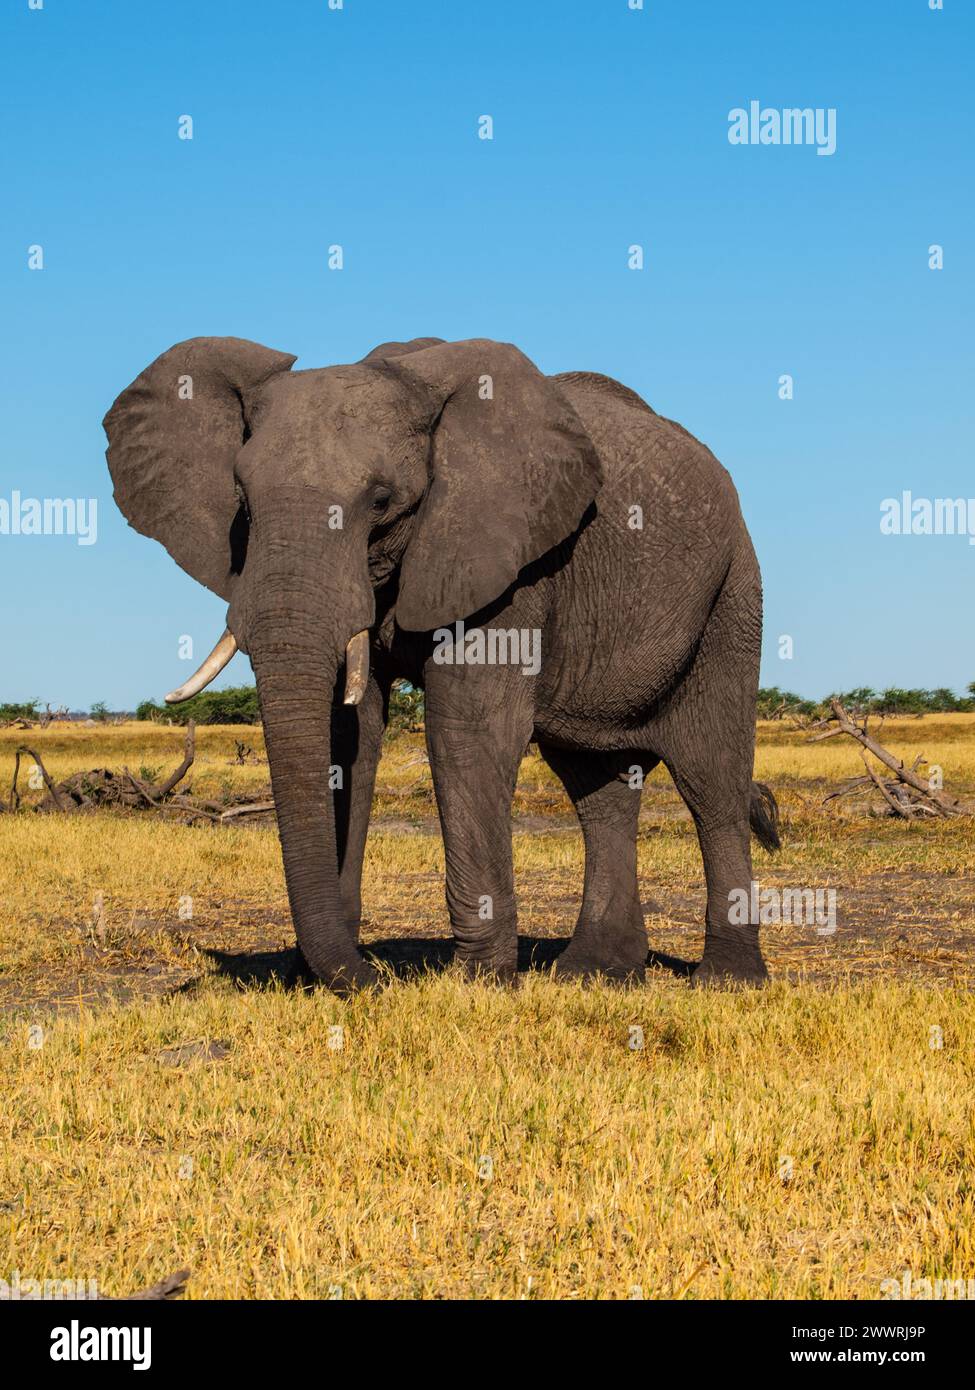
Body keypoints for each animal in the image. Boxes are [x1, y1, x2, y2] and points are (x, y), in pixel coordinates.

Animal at [104, 335, 779, 994]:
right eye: (242, 500)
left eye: (381, 501)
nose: (373, 981)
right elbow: (348, 736)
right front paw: (318, 976)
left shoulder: (505, 561)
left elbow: (469, 732)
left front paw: (476, 986)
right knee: (598, 787)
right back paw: (596, 973)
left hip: (732, 594)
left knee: (711, 778)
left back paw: (728, 983)